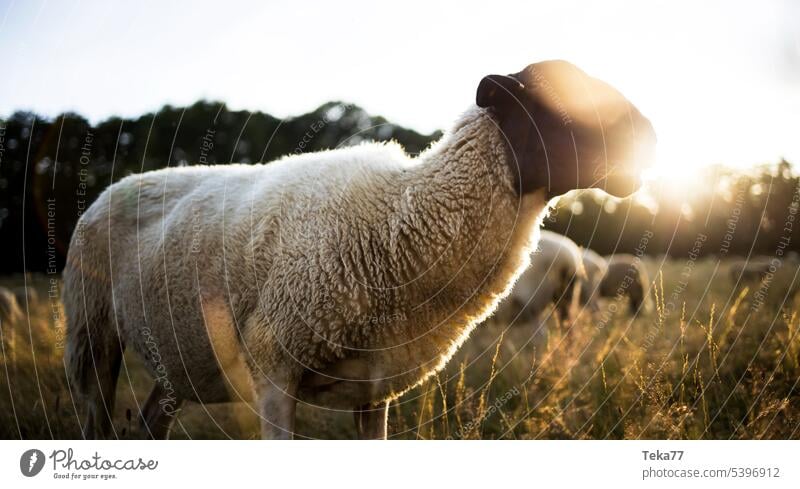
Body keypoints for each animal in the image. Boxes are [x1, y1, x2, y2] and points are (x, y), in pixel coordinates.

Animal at [64, 59, 656, 440]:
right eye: (558, 96)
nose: (649, 137)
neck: (402, 217)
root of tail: (118, 185)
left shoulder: (376, 390)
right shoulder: (273, 369)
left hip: (176, 358)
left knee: (150, 422)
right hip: (90, 336)